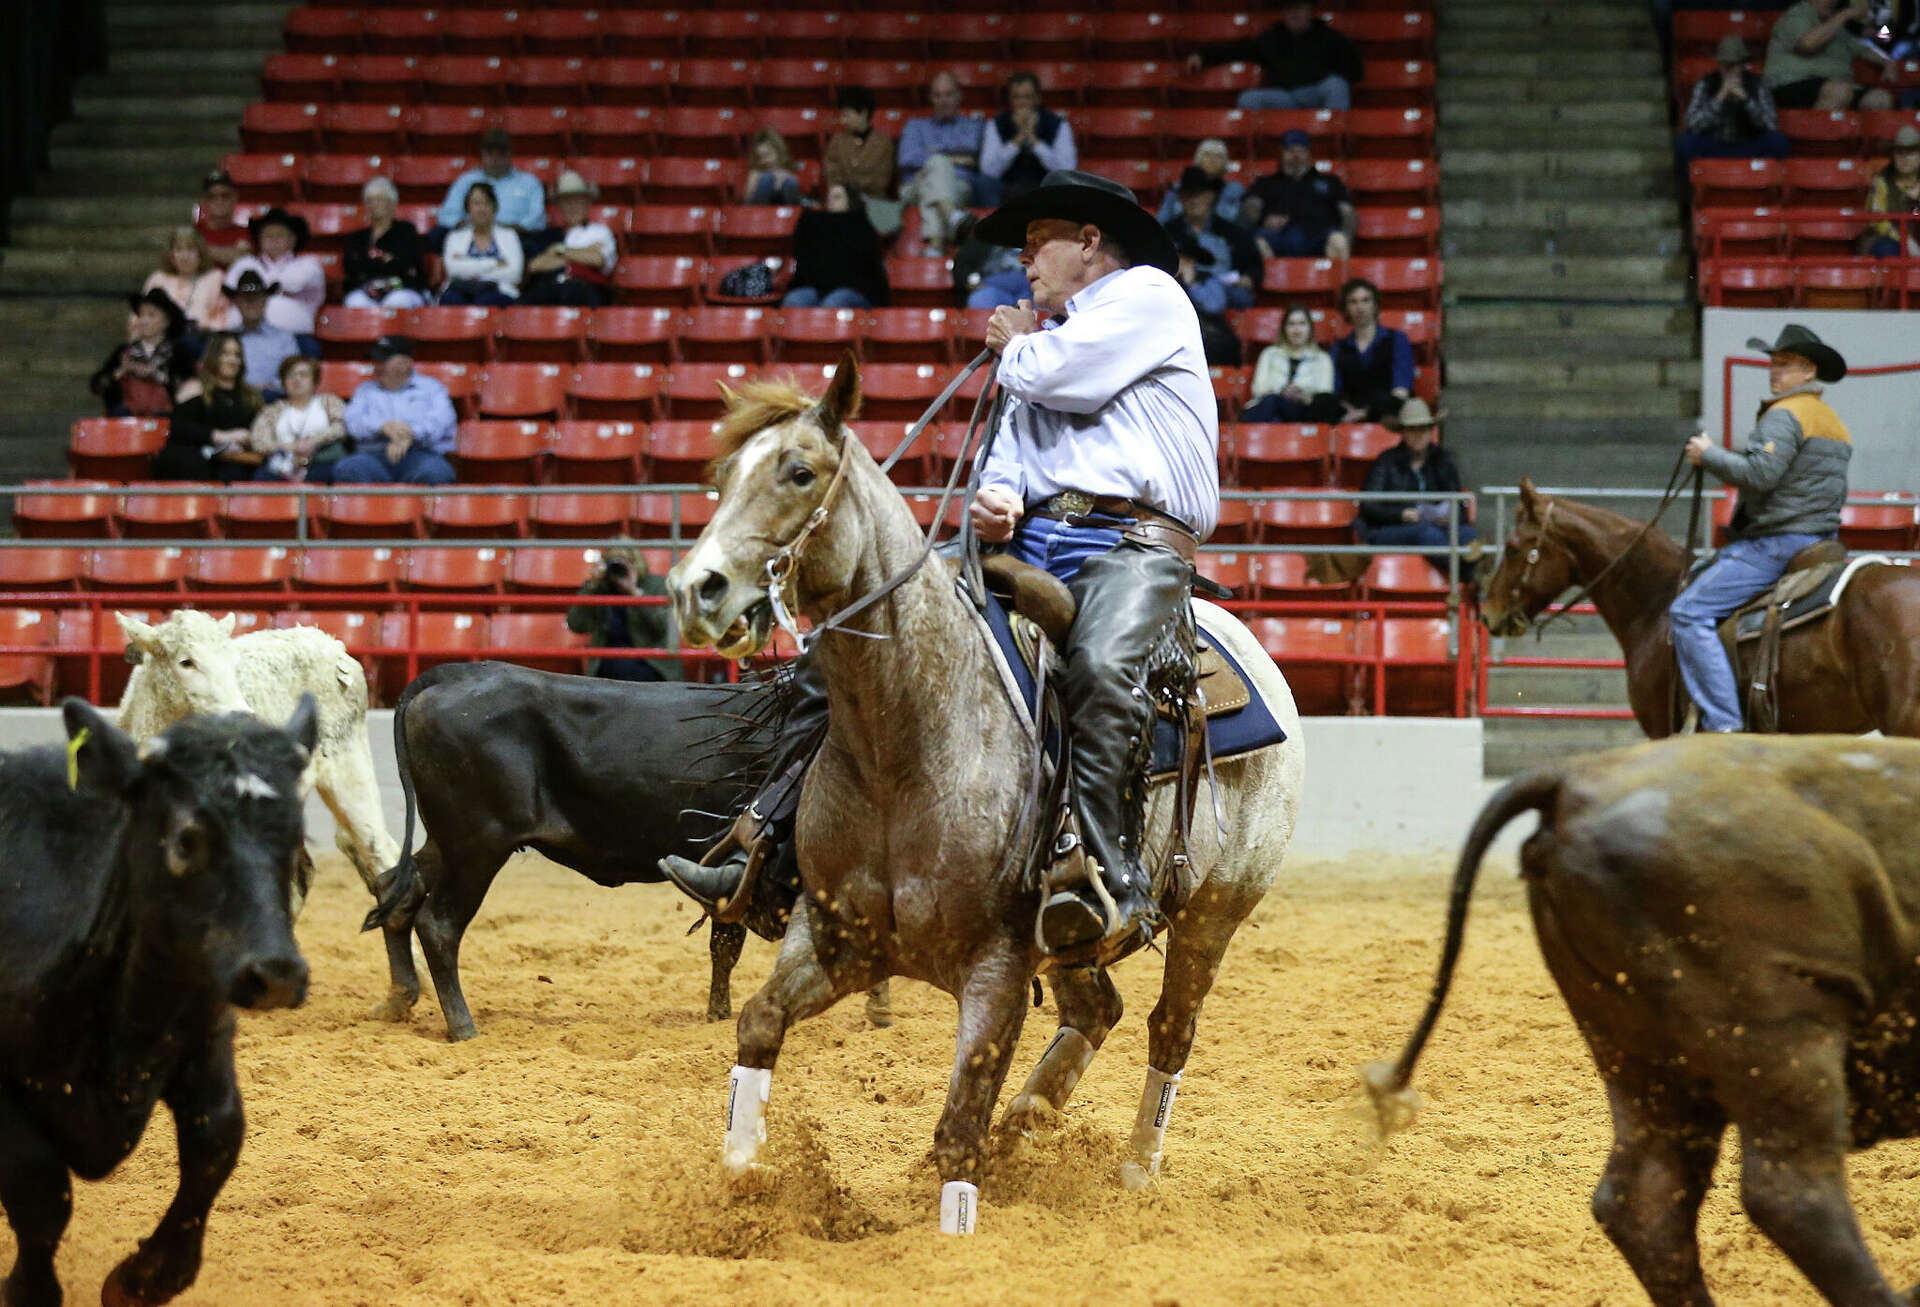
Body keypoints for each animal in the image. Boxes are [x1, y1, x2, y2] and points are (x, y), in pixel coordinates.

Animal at [664, 354, 1304, 1231]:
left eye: (799, 472)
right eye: (723, 476)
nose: (698, 589)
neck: (906, 742)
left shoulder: (995, 971)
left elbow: (958, 1128)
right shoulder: (834, 940)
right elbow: (760, 1022)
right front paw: (737, 1189)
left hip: (1216, 911)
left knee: (1170, 1027)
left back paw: (1133, 1169)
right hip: (1073, 936)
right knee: (1095, 1009)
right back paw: (1028, 1121)